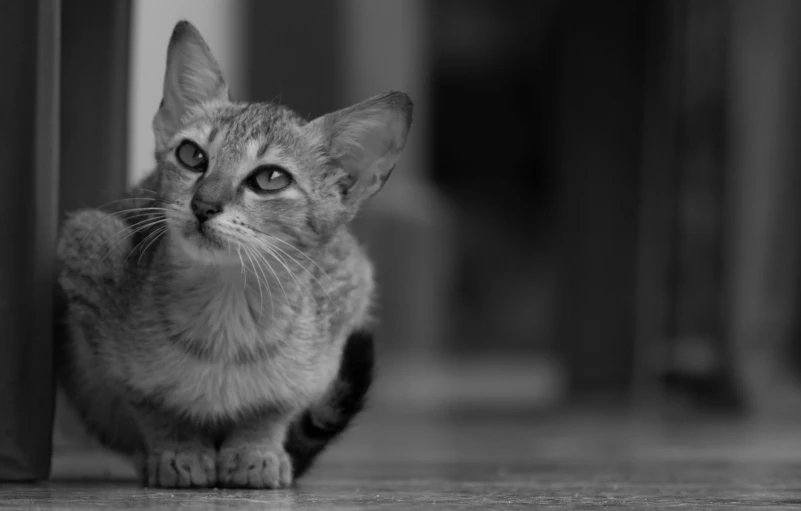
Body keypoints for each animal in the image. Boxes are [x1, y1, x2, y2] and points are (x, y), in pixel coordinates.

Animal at [54, 20, 412, 490]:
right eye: (192, 155)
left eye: (271, 178)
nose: (203, 204)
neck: (226, 309)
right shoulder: (87, 253)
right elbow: (147, 399)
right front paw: (178, 448)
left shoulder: (344, 302)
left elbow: (276, 405)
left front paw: (256, 449)